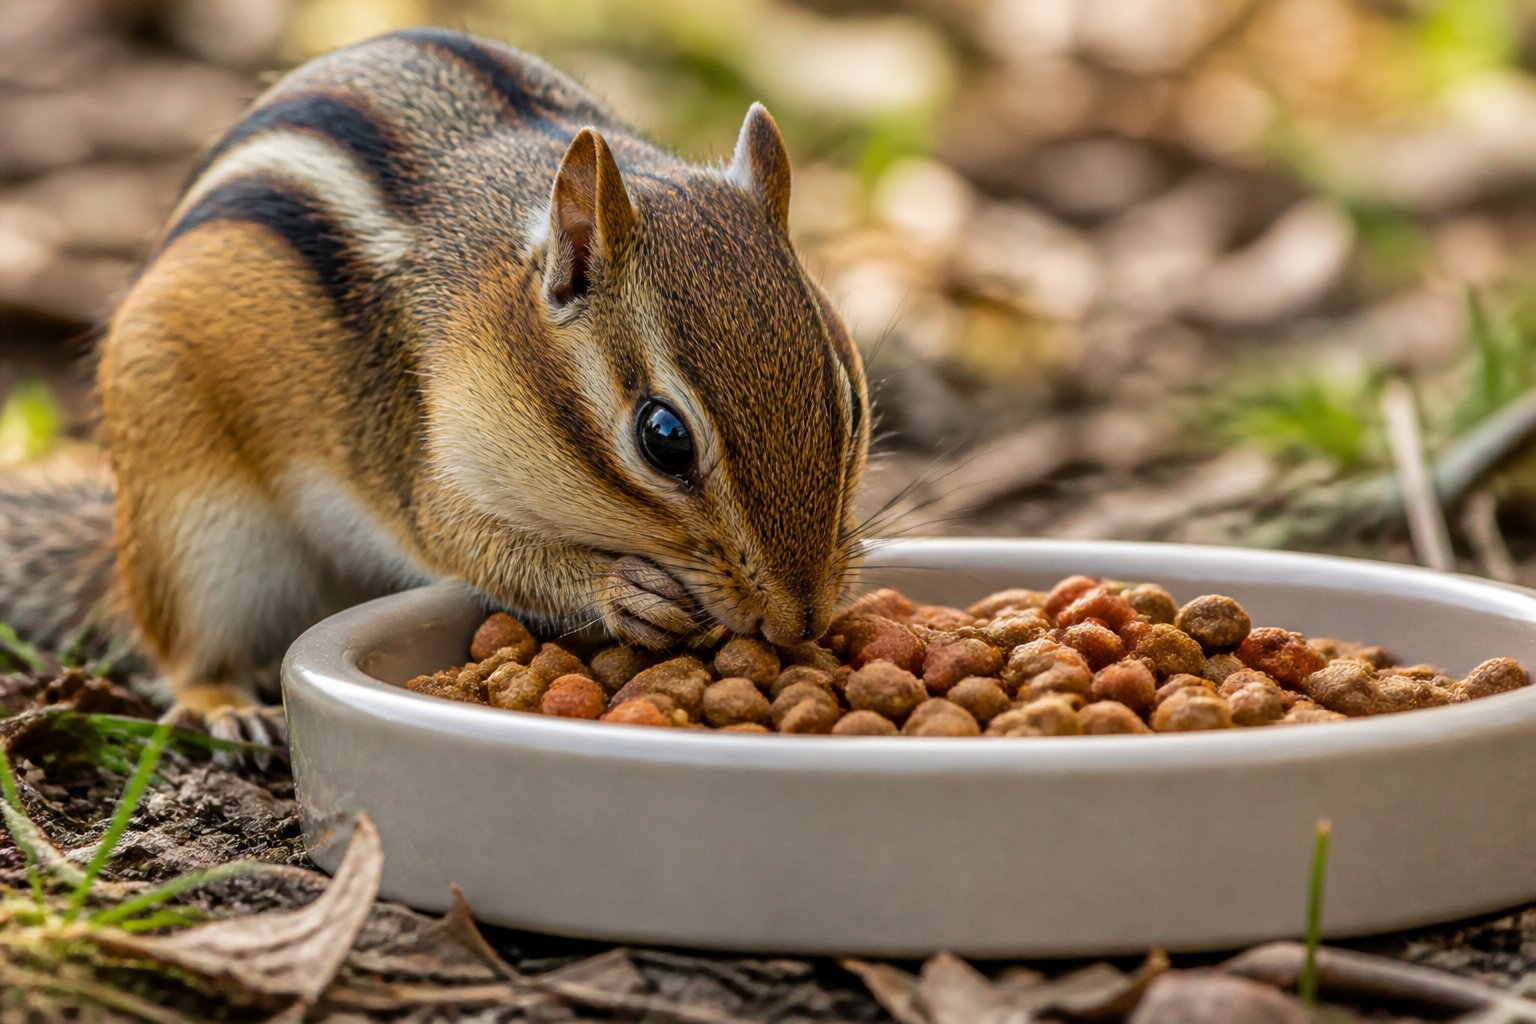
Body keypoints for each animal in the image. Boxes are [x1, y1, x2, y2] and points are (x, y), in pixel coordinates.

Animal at [0, 28, 870, 739]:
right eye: (664, 439)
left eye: (851, 404)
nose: (799, 621)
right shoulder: (421, 458)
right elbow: (459, 538)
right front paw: (619, 588)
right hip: (193, 529)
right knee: (182, 650)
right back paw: (225, 706)